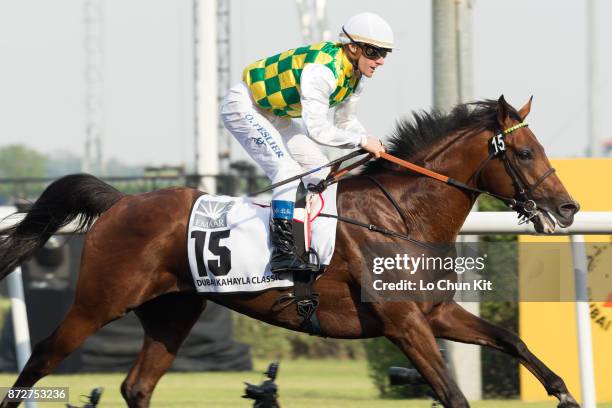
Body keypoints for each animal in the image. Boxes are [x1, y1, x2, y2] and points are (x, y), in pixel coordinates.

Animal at [0, 96, 580, 408]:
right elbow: (453, 394)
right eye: (524, 152)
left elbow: (510, 339)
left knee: (137, 385)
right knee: (39, 360)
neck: (401, 215)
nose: (569, 207)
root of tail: (121, 202)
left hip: (173, 313)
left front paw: (564, 392)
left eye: (539, 148)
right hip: (98, 302)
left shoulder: (436, 313)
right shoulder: (404, 323)